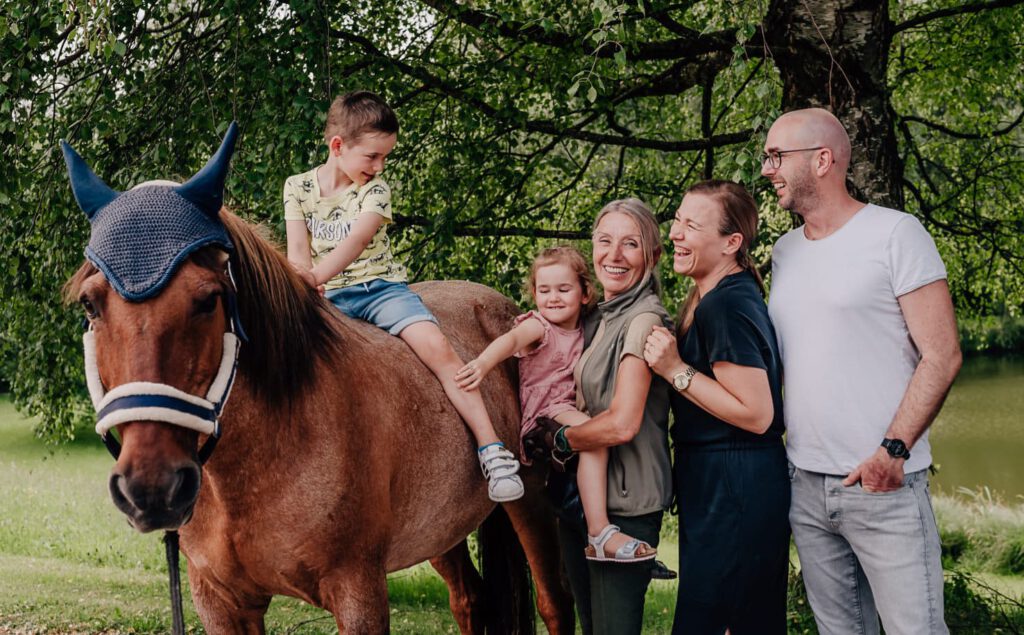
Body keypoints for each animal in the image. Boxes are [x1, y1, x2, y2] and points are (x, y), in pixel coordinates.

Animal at [65, 210, 577, 630]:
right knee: (470, 601)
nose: (152, 487)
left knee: (555, 604)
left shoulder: (358, 593)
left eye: (209, 299)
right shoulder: (221, 603)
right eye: (91, 304)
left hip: (530, 502)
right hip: (441, 529)